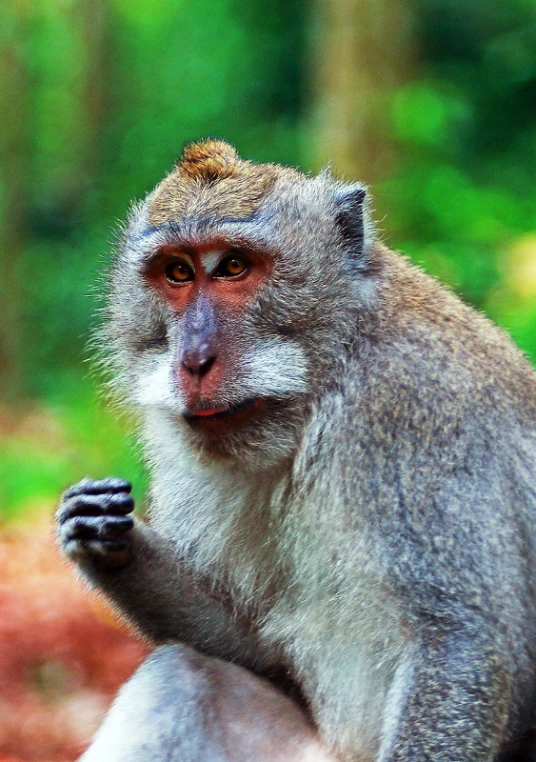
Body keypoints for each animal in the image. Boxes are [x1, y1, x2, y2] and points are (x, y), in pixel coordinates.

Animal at [55, 138, 536, 760]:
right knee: (182, 675)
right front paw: (106, 537)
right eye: (178, 272)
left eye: (234, 267)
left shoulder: (420, 408)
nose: (194, 360)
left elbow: (458, 642)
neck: (319, 393)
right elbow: (256, 649)